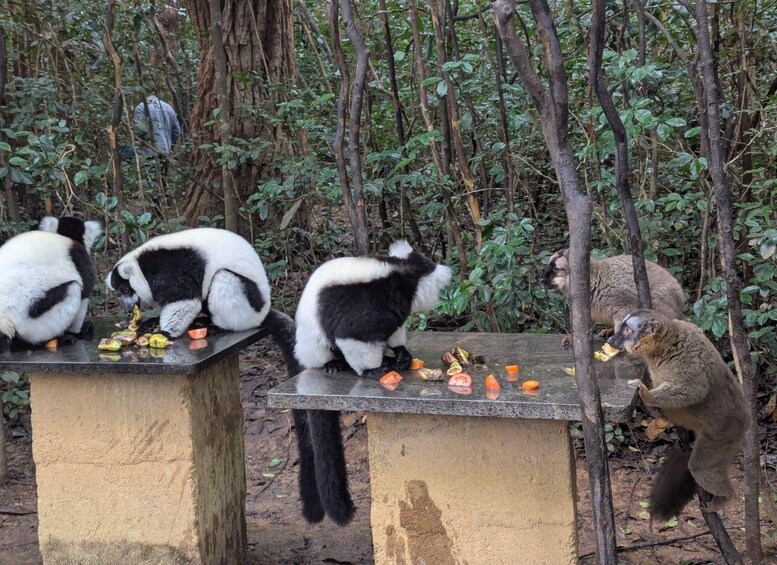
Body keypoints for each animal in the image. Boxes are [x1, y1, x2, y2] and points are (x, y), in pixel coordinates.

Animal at [0, 216, 101, 351]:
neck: (67, 236)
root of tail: (4, 317)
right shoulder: (82, 259)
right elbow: (85, 293)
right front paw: (79, 331)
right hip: (32, 319)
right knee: (73, 289)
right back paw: (55, 340)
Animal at [105, 228, 271, 338]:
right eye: (119, 294)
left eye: (126, 290)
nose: (127, 310)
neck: (142, 266)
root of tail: (264, 310)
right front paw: (152, 323)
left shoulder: (173, 268)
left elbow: (184, 301)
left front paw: (163, 334)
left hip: (250, 307)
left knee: (223, 276)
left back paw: (220, 327)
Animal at [294, 239, 453, 378]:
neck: (399, 274)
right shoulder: (366, 302)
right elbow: (354, 335)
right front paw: (371, 370)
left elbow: (393, 328)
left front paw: (402, 354)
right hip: (311, 336)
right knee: (318, 346)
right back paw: (333, 363)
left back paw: (387, 359)